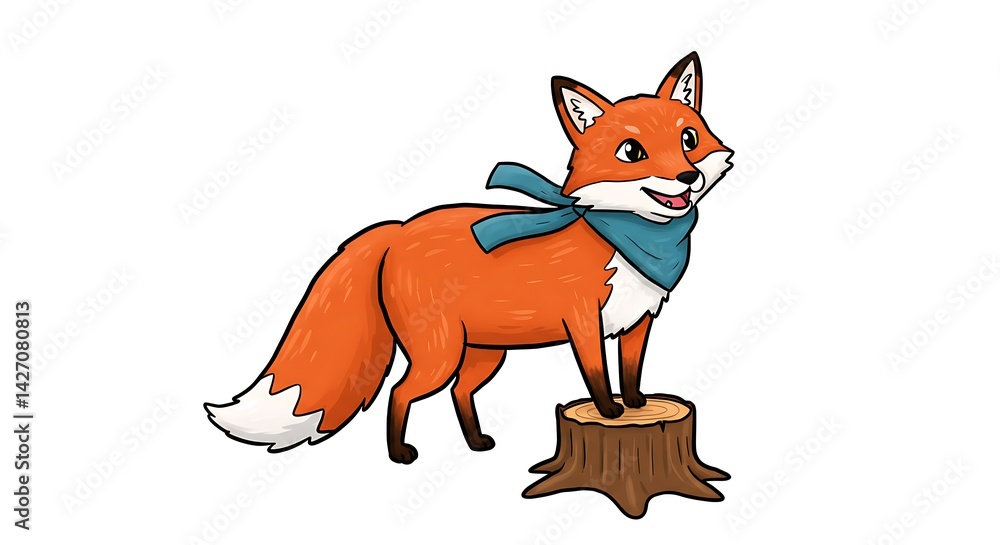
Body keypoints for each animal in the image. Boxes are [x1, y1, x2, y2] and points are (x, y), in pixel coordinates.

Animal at [205, 52, 734, 464]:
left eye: (689, 140)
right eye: (632, 151)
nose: (686, 177)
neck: (624, 235)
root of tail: (398, 230)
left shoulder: (636, 321)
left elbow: (630, 372)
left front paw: (637, 404)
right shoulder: (583, 320)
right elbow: (597, 377)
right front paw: (610, 412)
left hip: (482, 353)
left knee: (459, 393)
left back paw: (477, 443)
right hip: (438, 354)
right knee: (400, 393)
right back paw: (400, 455)